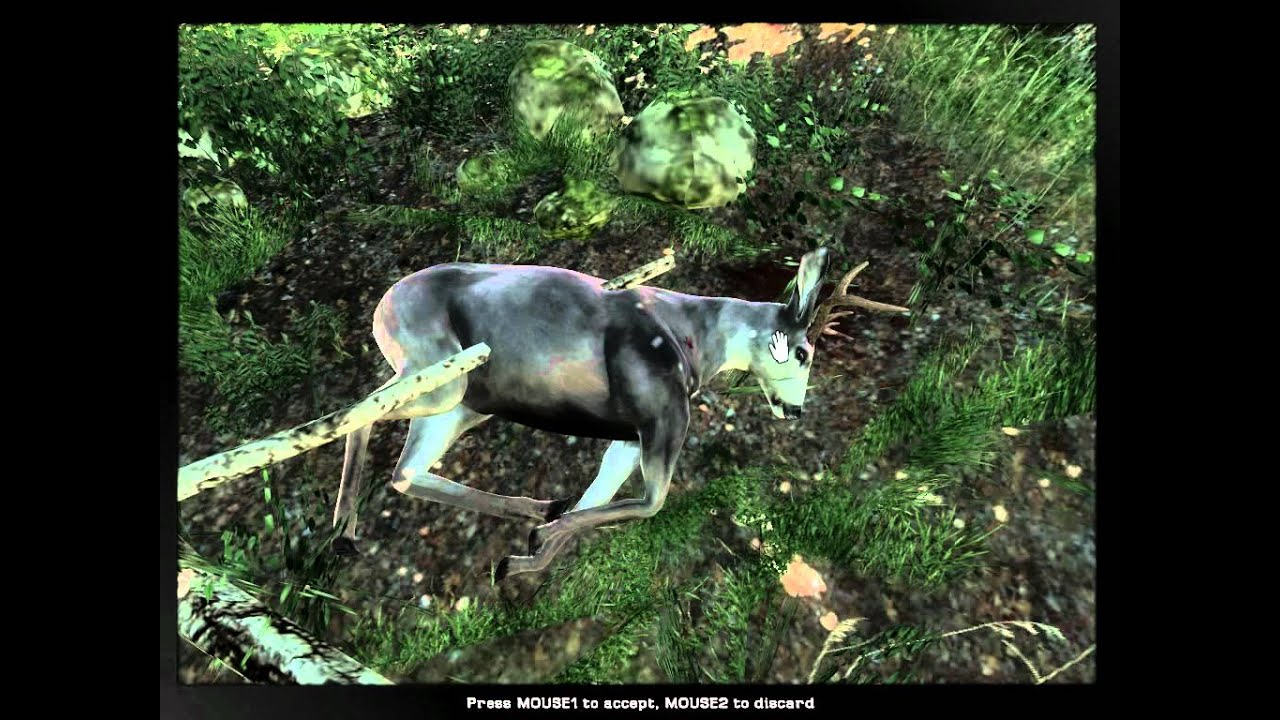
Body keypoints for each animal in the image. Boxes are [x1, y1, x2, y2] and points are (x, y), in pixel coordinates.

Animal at [325, 247, 909, 580]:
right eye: (803, 352)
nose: (795, 408)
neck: (697, 342)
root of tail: (381, 306)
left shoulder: (632, 434)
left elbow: (601, 496)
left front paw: (527, 558)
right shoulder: (659, 415)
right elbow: (650, 504)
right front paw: (540, 542)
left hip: (462, 403)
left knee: (404, 469)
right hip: (443, 379)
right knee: (360, 413)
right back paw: (344, 522)